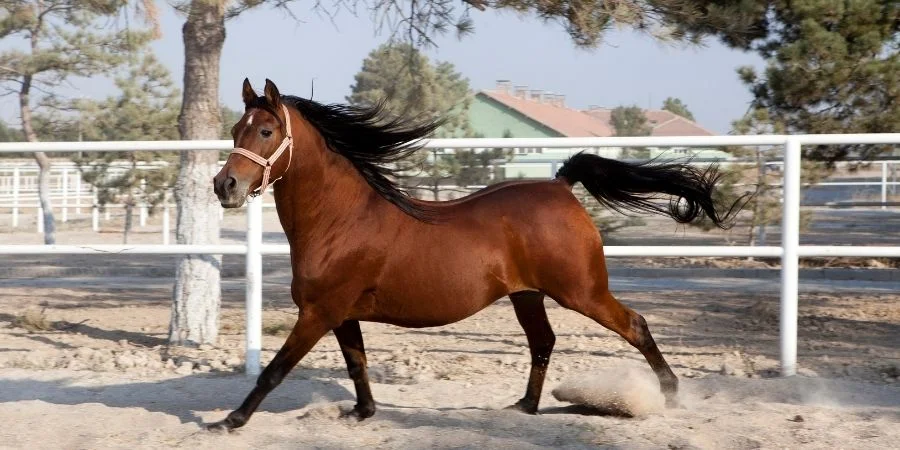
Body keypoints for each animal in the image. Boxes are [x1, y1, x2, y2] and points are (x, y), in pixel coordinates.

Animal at [208, 78, 744, 431]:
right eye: (236, 128)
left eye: (265, 132)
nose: (224, 186)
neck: (341, 220)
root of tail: (560, 185)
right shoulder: (340, 313)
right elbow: (357, 364)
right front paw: (362, 413)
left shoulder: (319, 313)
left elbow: (275, 370)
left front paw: (230, 420)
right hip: (528, 295)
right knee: (544, 341)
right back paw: (525, 407)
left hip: (582, 292)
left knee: (635, 325)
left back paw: (671, 396)